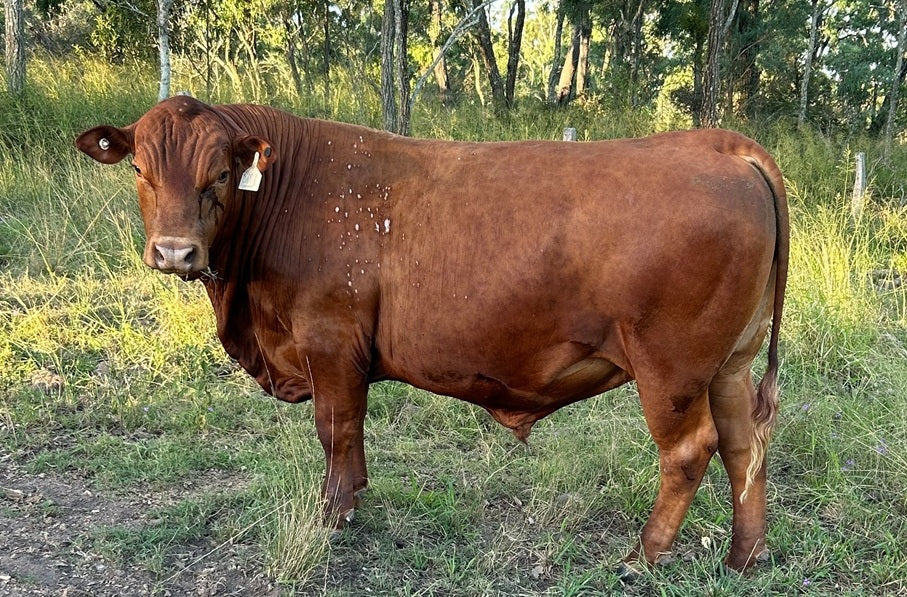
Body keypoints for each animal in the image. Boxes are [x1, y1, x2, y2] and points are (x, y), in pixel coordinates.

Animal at [76, 96, 788, 575]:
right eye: (139, 169)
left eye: (220, 174)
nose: (175, 251)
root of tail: (719, 144)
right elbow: (351, 436)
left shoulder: (329, 341)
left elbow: (337, 430)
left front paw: (333, 518)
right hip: (730, 362)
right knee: (744, 444)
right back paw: (744, 555)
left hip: (671, 368)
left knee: (690, 451)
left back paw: (643, 556)